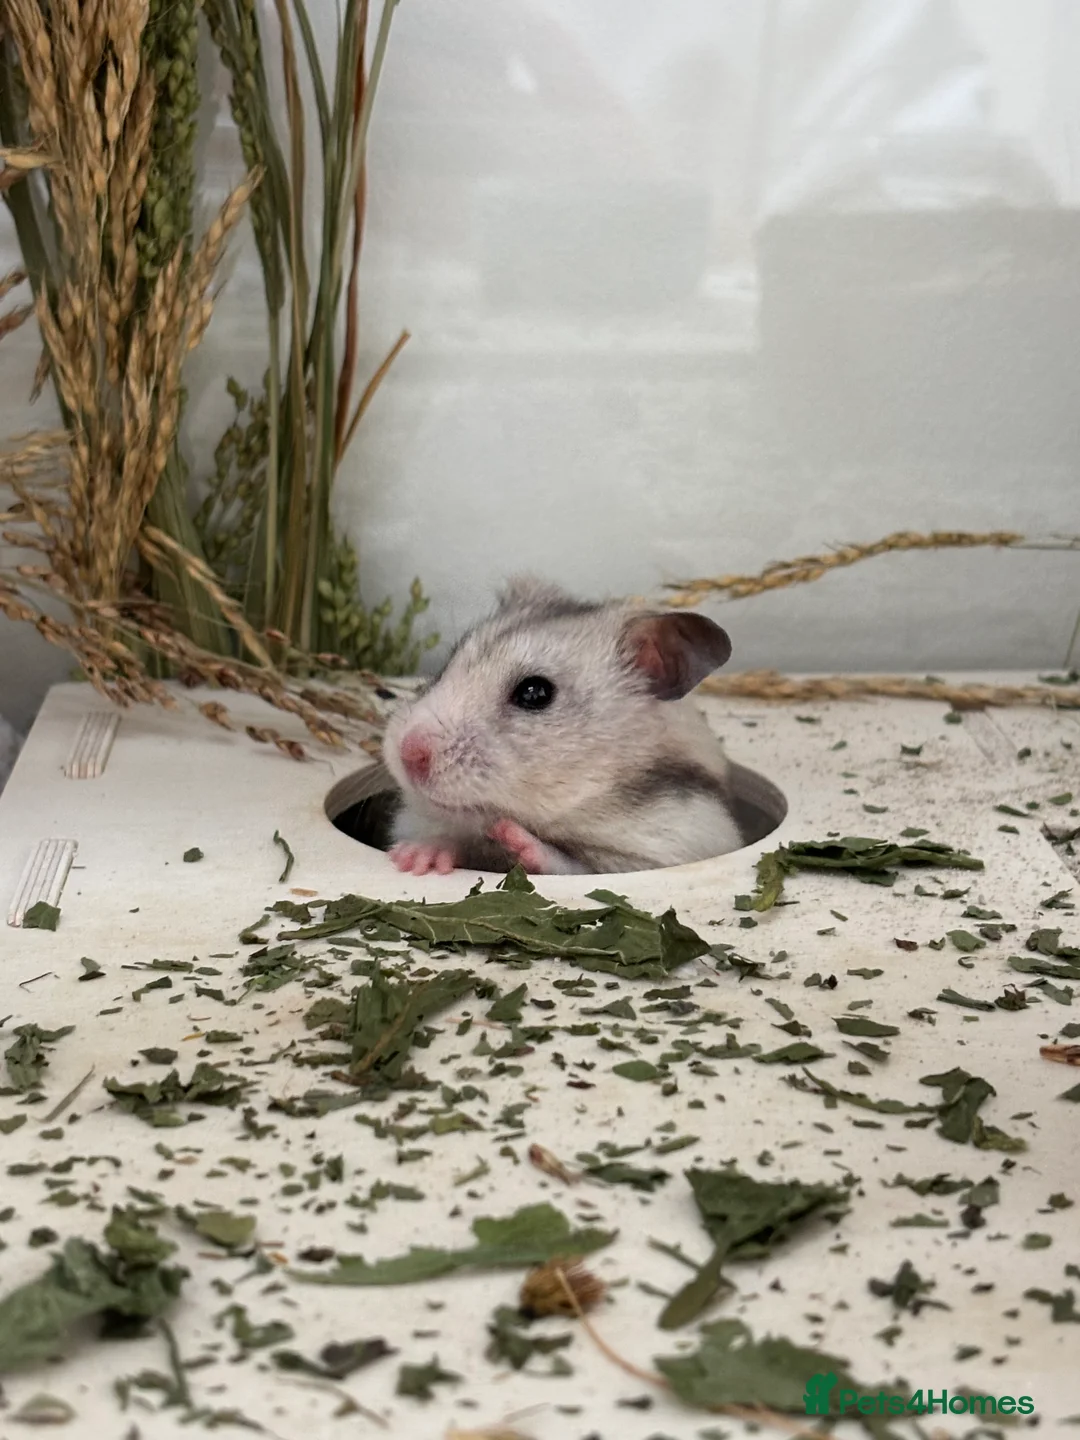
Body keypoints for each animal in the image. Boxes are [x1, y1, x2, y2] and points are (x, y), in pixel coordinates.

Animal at [382, 576, 744, 876]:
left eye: (535, 693)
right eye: (446, 665)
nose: (407, 753)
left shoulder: (665, 851)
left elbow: (570, 865)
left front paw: (515, 839)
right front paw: (414, 858)